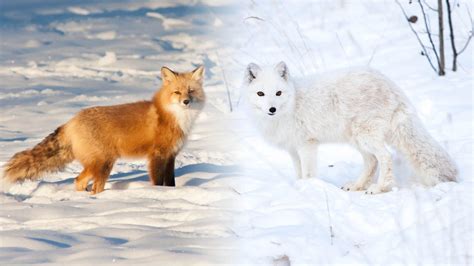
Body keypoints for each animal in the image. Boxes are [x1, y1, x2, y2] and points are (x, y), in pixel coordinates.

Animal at [1, 64, 206, 193]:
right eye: (177, 92)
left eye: (191, 91)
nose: (186, 102)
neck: (174, 117)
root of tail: (71, 121)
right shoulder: (157, 155)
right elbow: (158, 183)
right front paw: (158, 195)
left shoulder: (171, 155)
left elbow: (170, 183)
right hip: (104, 163)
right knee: (92, 186)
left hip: (98, 164)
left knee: (78, 181)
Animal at [244, 61, 456, 193]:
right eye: (261, 93)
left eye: (278, 93)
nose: (271, 109)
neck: (292, 103)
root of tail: (390, 85)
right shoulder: (292, 149)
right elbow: (298, 174)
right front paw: (299, 188)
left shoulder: (307, 145)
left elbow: (308, 174)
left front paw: (310, 189)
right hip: (356, 139)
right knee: (372, 162)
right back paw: (357, 186)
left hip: (365, 136)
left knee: (385, 157)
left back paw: (379, 188)